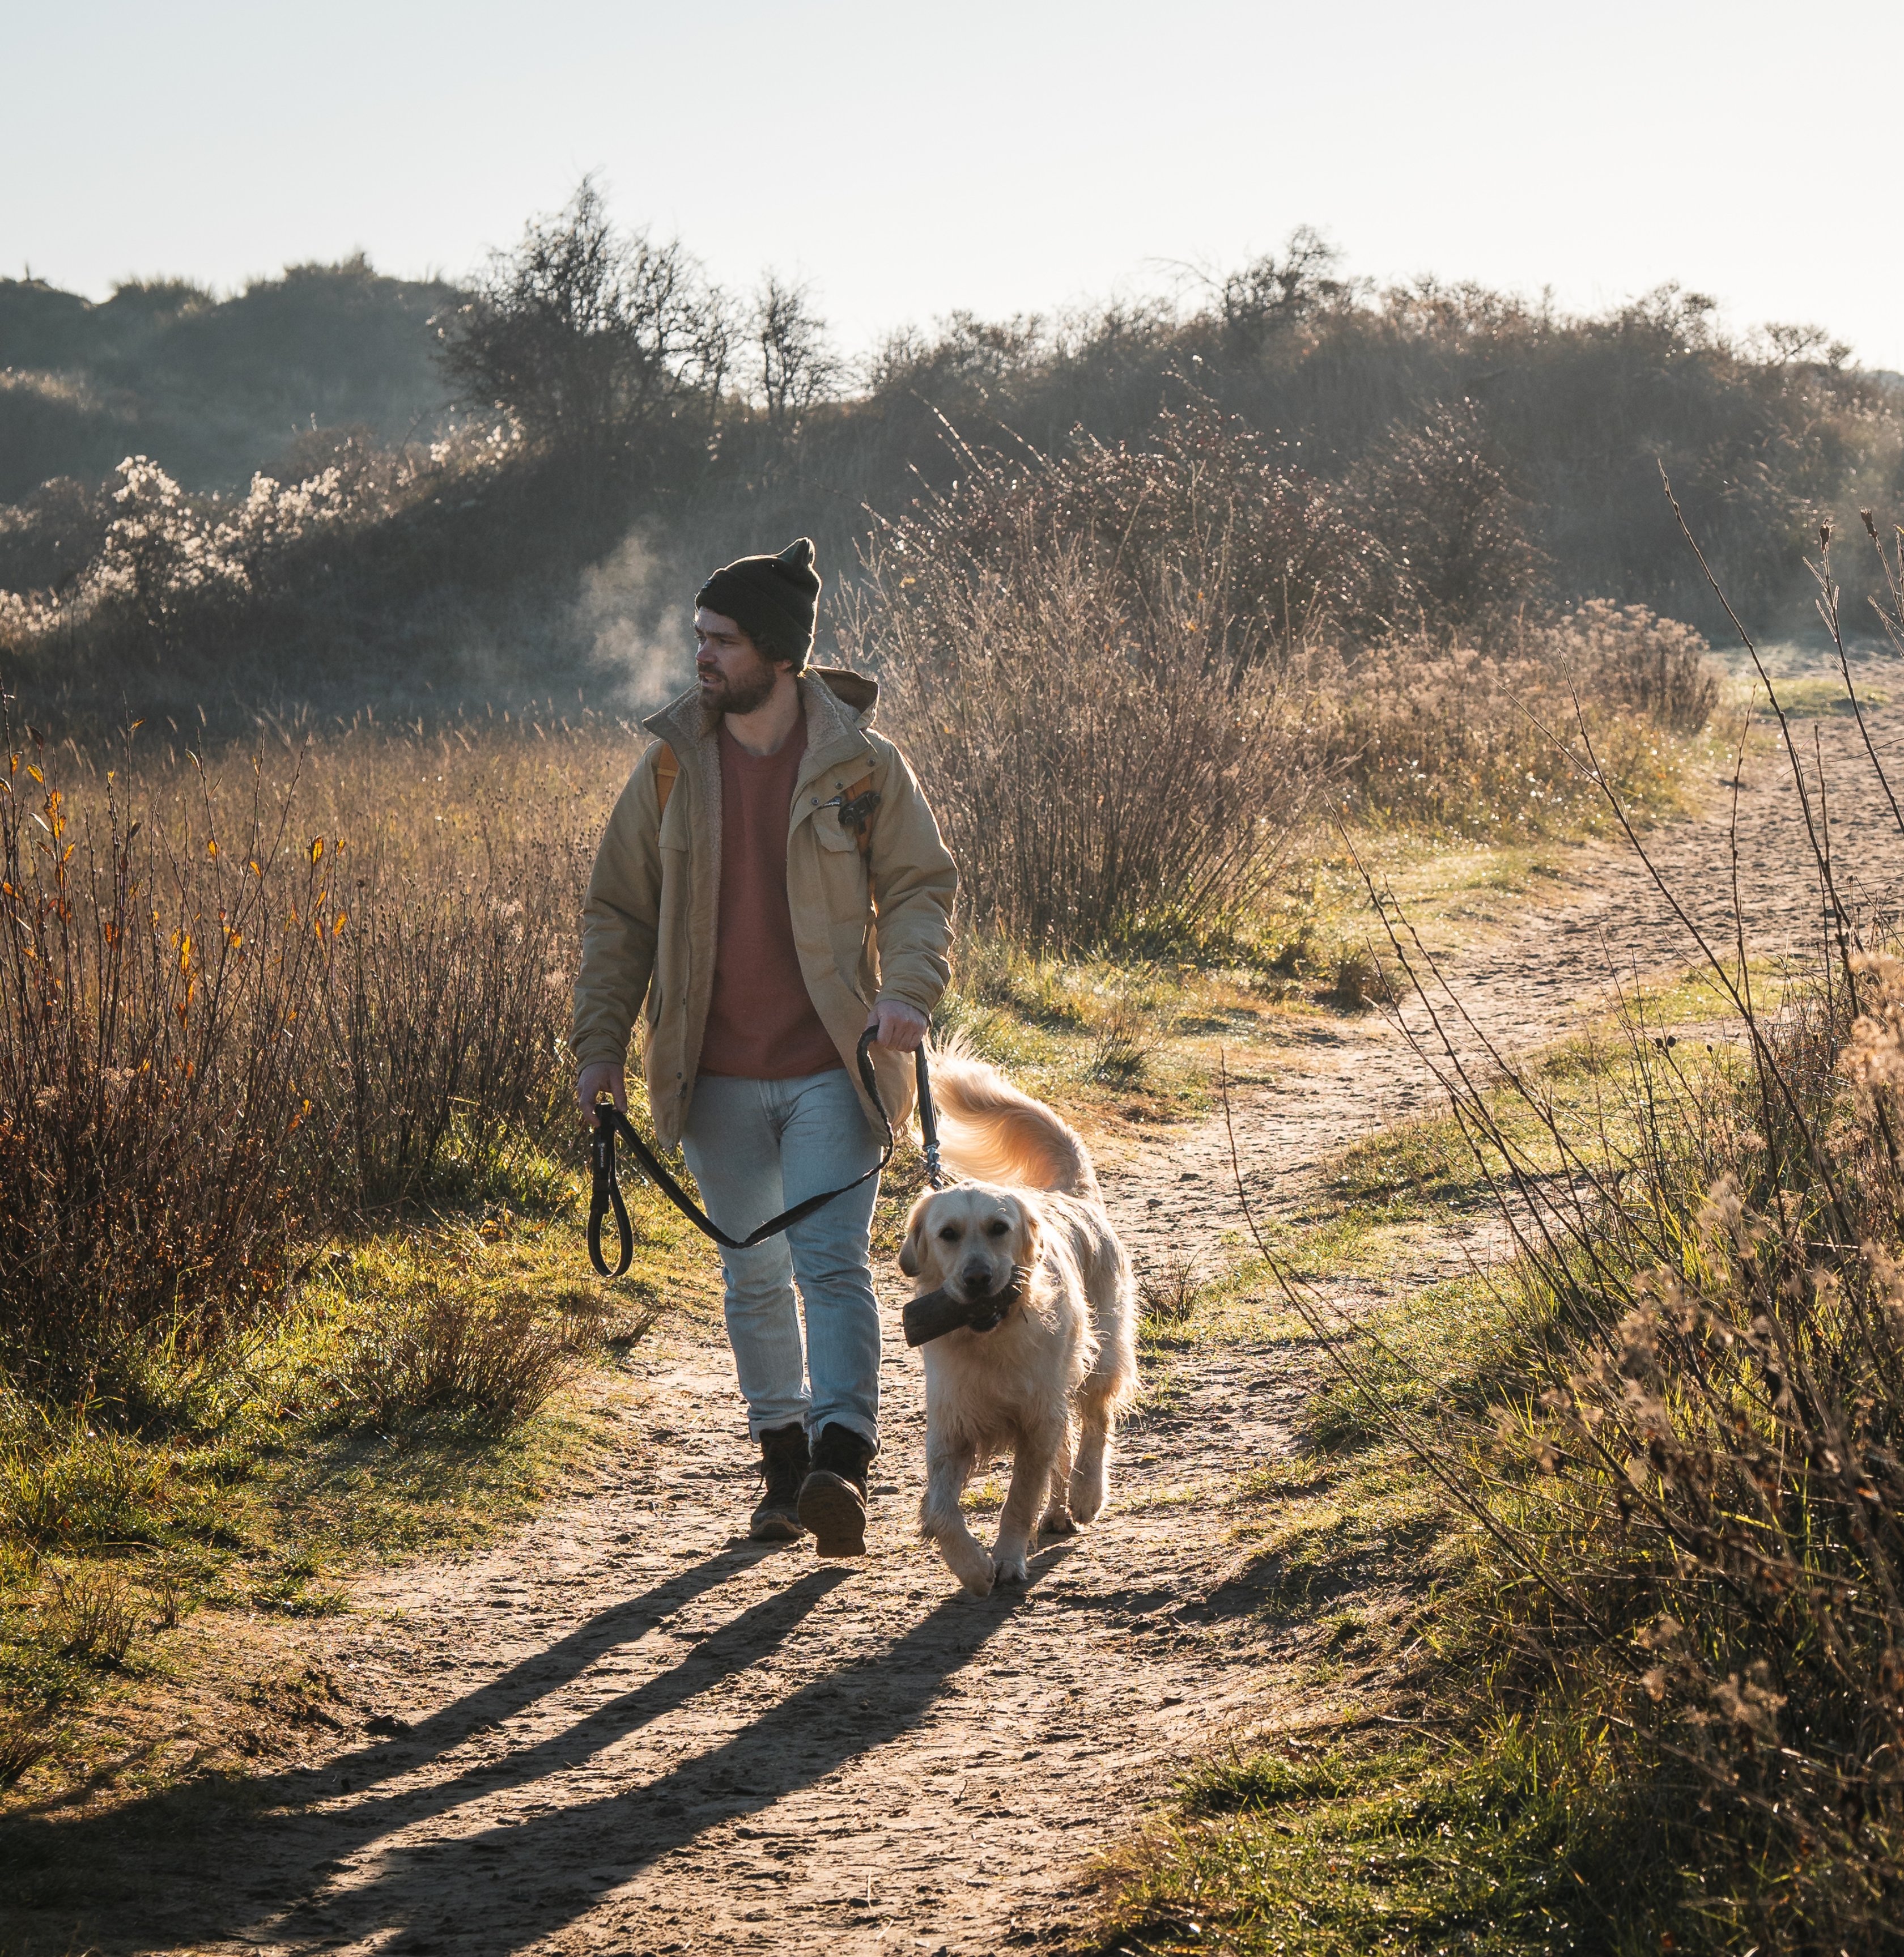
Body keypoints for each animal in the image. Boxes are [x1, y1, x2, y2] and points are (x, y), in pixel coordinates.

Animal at [900, 1048, 1134, 1597]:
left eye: (998, 1228)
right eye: (948, 1234)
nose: (978, 1278)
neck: (991, 1338)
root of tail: (1073, 1194)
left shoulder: (1036, 1416)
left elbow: (1020, 1497)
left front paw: (1007, 1558)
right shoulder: (951, 1426)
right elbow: (940, 1510)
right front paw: (971, 1567)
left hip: (1100, 1353)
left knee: (1095, 1423)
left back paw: (1086, 1495)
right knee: (1068, 1446)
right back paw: (1060, 1512)